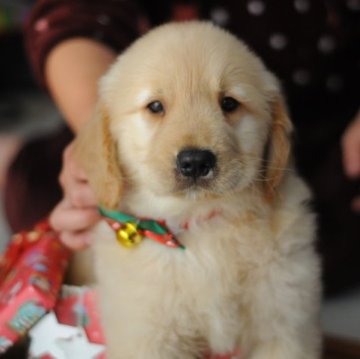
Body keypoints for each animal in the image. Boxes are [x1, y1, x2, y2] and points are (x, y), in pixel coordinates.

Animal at [72, 21, 320, 359]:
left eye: (229, 103)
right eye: (155, 107)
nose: (195, 162)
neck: (200, 225)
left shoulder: (284, 323)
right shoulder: (149, 335)